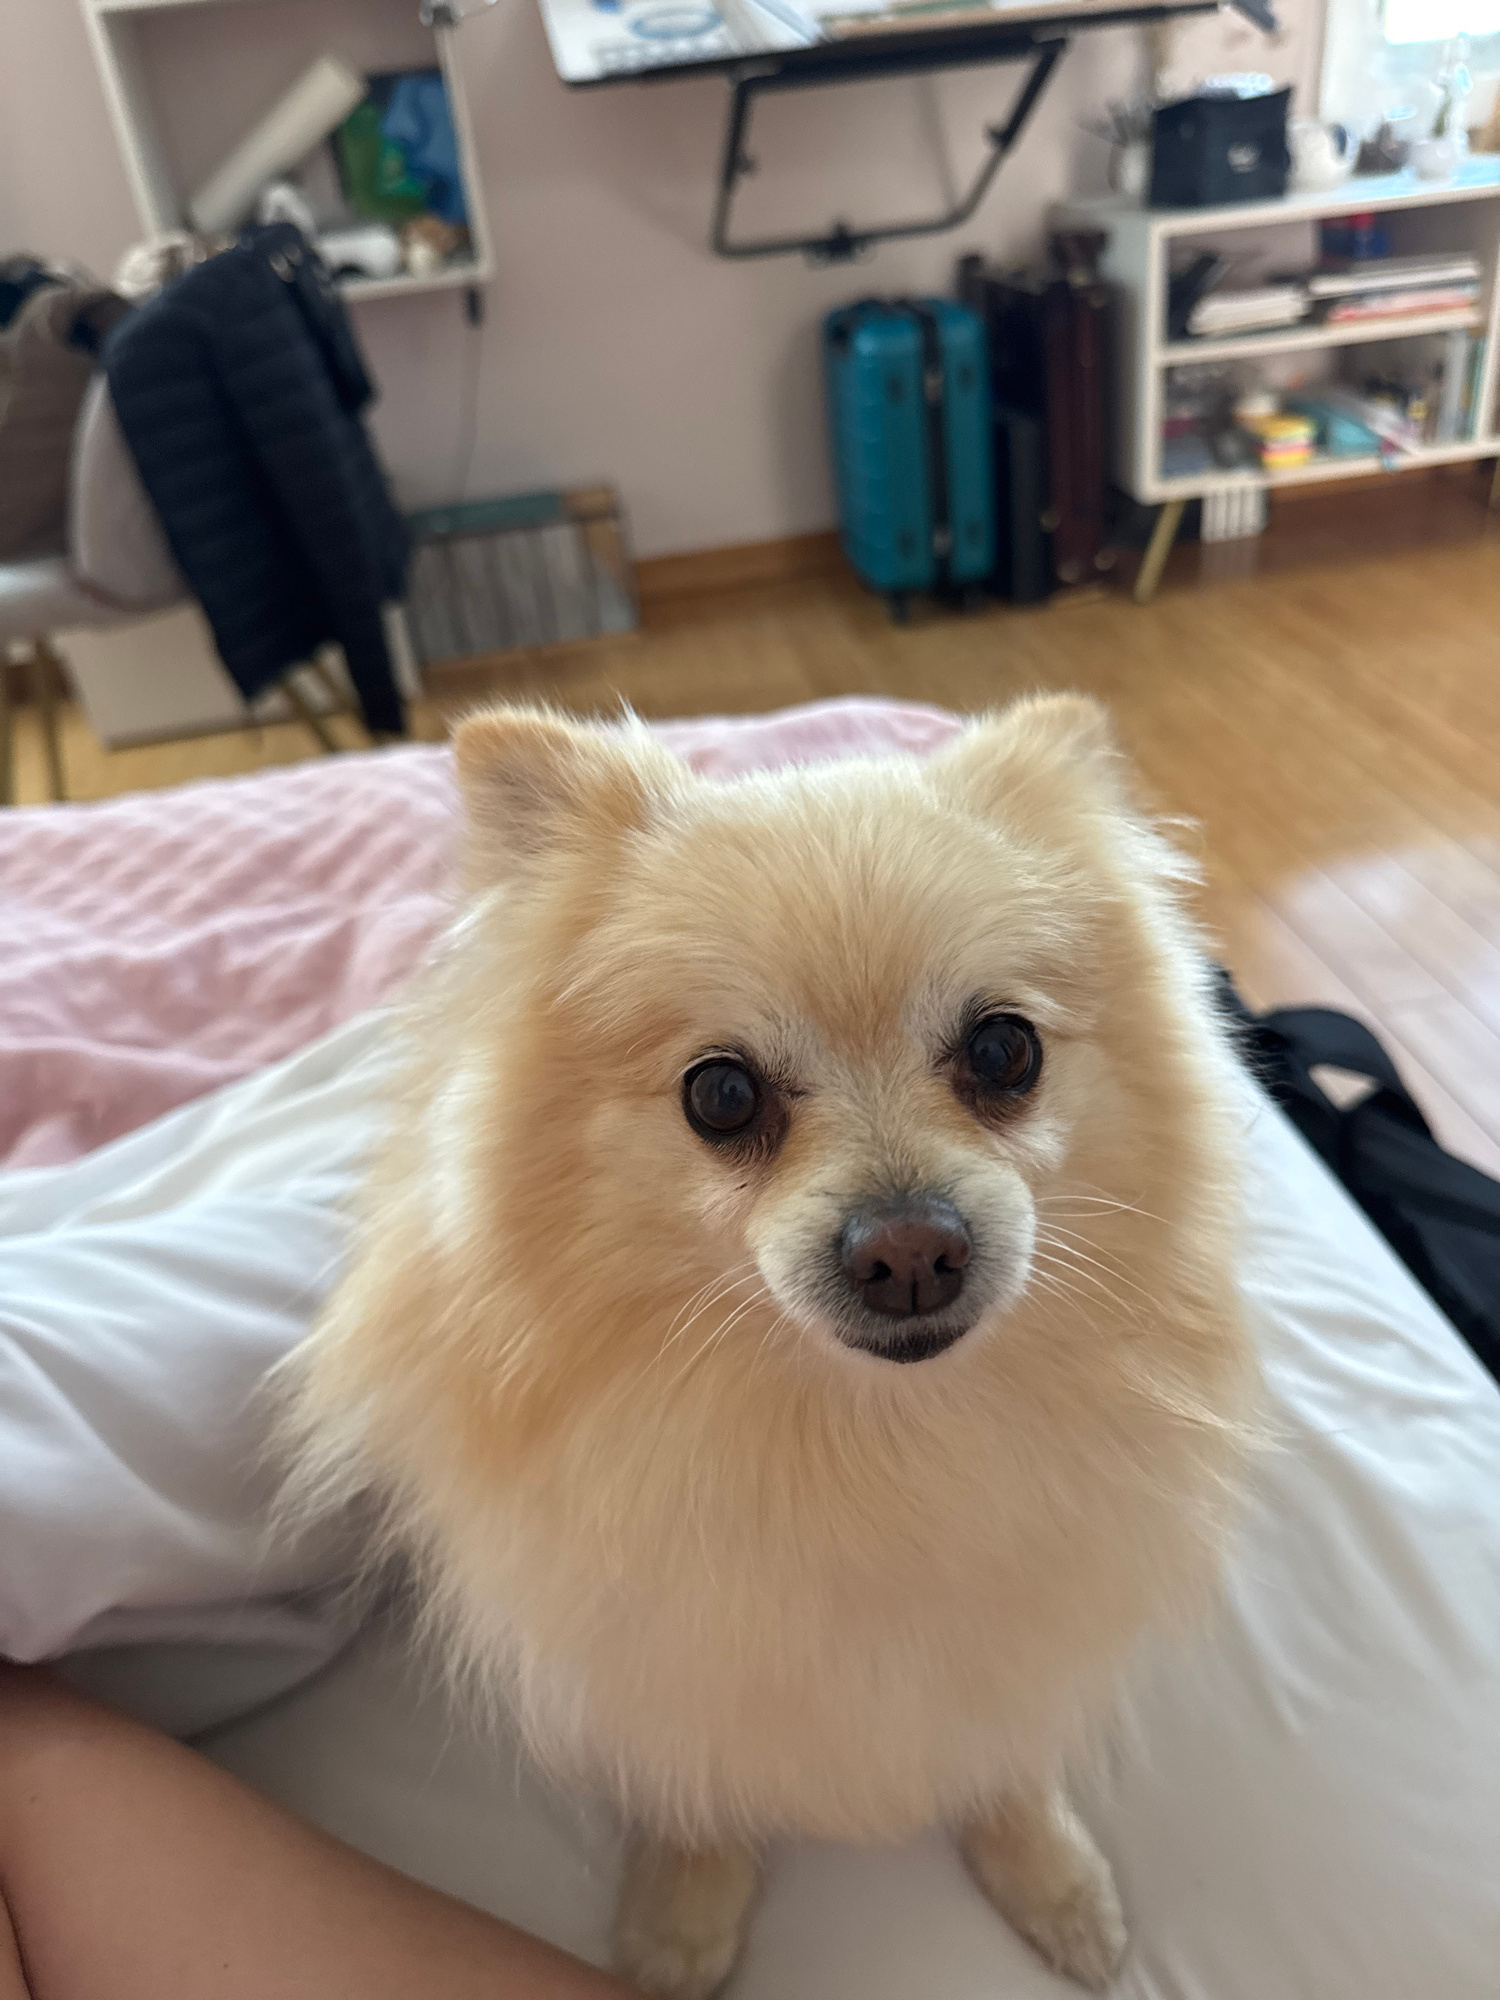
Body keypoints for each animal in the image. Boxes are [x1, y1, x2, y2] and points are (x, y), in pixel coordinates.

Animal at [286, 695, 1259, 1998]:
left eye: (1005, 1051)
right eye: (722, 1094)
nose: (911, 1248)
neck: (870, 1442)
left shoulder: (1025, 1626)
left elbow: (1003, 1751)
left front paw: (1049, 1874)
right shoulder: (661, 1651)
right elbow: (698, 1782)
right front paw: (682, 1915)